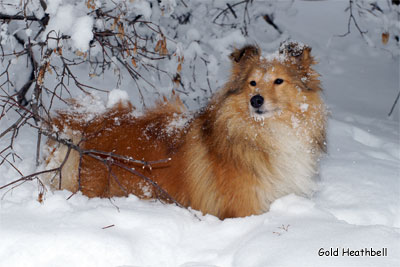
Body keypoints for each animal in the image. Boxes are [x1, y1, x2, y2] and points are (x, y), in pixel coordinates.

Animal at [44, 42, 324, 220]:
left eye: (278, 81)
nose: (255, 100)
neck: (264, 133)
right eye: (252, 83)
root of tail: (85, 123)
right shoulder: (244, 208)